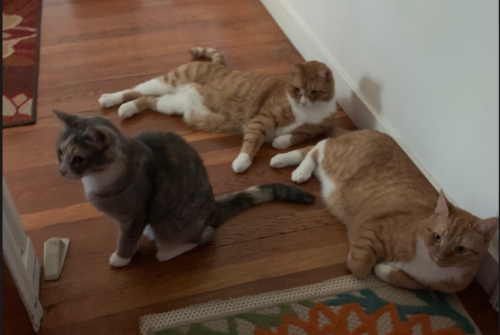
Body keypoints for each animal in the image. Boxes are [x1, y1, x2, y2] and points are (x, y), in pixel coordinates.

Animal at [52, 111, 314, 270]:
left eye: (78, 159)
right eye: (59, 152)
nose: (62, 171)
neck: (97, 180)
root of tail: (212, 209)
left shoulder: (134, 215)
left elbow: (126, 238)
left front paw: (121, 257)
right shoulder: (134, 220)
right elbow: (130, 236)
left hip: (174, 221)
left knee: (205, 235)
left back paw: (168, 250)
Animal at [99, 47, 338, 175]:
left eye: (313, 92)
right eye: (296, 89)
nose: (303, 101)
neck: (307, 112)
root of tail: (217, 65)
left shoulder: (313, 129)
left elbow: (295, 136)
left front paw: (281, 141)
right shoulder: (261, 120)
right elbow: (251, 143)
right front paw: (242, 162)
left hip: (172, 104)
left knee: (147, 100)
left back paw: (128, 109)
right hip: (167, 83)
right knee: (136, 89)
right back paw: (110, 99)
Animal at [272, 130, 498, 292]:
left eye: (461, 249)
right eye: (437, 237)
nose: (440, 256)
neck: (427, 263)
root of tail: (372, 131)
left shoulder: (426, 285)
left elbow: (400, 277)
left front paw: (384, 267)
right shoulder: (374, 229)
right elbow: (361, 267)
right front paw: (360, 262)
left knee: (314, 149)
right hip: (335, 160)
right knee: (319, 147)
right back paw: (294, 167)